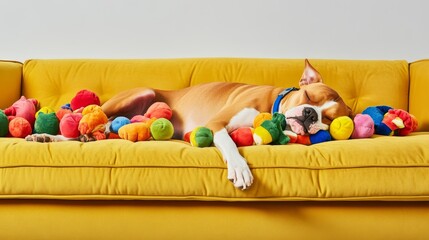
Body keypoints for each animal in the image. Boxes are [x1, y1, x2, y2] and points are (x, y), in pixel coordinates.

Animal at [25, 59, 352, 189]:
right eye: (307, 96)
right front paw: (240, 169)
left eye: (329, 120)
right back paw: (47, 137)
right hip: (140, 94)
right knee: (91, 124)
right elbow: (231, 144)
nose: (310, 115)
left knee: (102, 132)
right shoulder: (216, 123)